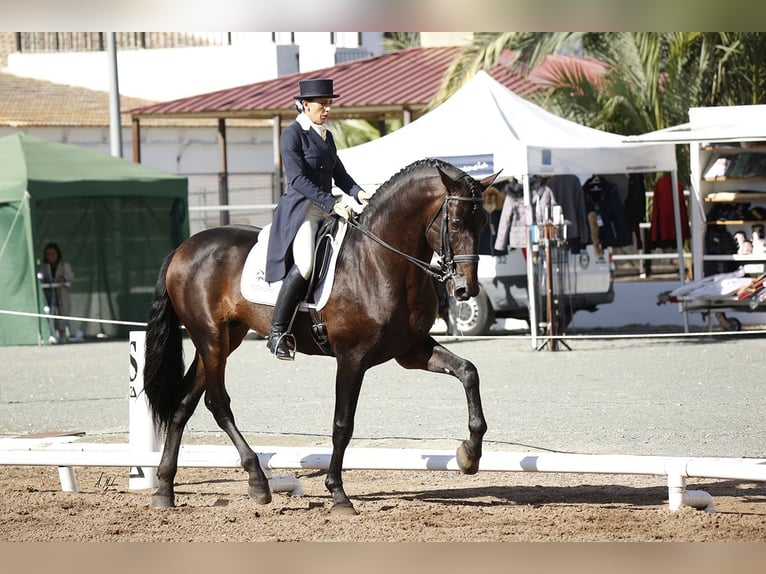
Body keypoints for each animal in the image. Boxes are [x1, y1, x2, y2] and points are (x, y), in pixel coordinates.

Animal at [142, 159, 504, 516]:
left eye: (483, 222)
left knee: (183, 403)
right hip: (211, 338)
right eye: (455, 222)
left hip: (224, 339)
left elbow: (468, 371)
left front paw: (469, 455)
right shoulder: (352, 358)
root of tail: (183, 248)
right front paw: (339, 494)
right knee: (217, 403)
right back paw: (257, 481)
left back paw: (164, 490)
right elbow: (342, 424)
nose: (465, 289)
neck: (380, 260)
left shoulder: (411, 349)